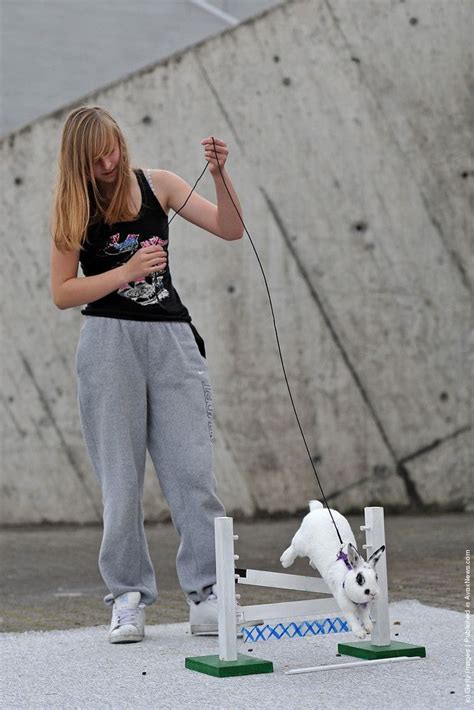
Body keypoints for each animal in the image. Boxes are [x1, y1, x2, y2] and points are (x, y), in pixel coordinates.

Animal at [282, 500, 386, 640]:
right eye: (359, 579)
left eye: (376, 577)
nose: (373, 593)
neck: (345, 581)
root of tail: (318, 510)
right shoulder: (345, 606)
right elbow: (352, 619)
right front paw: (360, 634)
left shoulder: (364, 607)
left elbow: (365, 616)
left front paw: (369, 628)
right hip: (301, 543)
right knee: (294, 547)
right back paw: (285, 561)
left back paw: (312, 564)